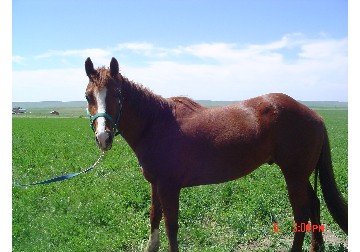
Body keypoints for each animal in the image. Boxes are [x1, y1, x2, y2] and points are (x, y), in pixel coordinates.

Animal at [83, 57, 346, 252]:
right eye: (88, 96)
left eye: (117, 94)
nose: (103, 137)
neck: (156, 123)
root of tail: (315, 115)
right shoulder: (155, 183)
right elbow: (154, 219)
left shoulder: (169, 186)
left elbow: (170, 226)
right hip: (300, 176)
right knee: (314, 204)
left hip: (294, 176)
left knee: (301, 214)